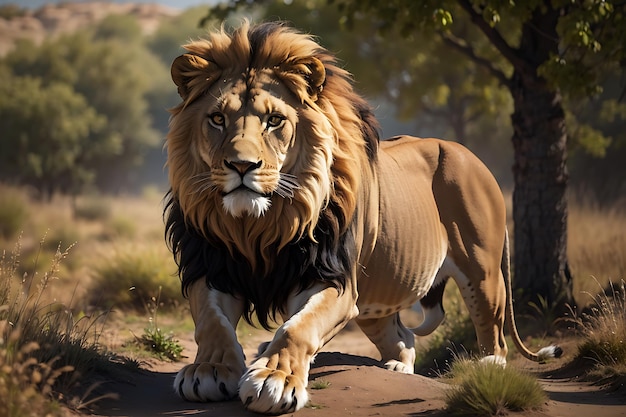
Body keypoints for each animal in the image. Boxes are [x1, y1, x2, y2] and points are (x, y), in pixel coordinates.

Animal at [162, 22, 560, 412]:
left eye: (275, 120)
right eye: (217, 119)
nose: (242, 166)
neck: (256, 225)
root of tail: (470, 155)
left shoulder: (333, 279)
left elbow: (296, 328)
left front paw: (274, 379)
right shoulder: (211, 268)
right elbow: (212, 322)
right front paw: (209, 370)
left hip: (483, 272)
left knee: (494, 335)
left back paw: (486, 369)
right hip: (376, 299)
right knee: (403, 337)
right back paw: (396, 367)